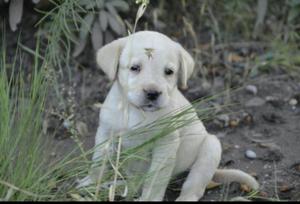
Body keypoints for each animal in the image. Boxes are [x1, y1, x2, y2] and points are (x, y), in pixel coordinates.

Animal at [78, 30, 258, 201]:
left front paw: (149, 199)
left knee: (193, 187)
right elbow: (98, 163)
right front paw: (90, 184)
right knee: (134, 184)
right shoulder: (105, 134)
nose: (152, 93)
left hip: (210, 149)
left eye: (169, 72)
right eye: (134, 68)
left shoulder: (165, 146)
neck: (139, 112)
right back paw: (117, 187)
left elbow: (155, 179)